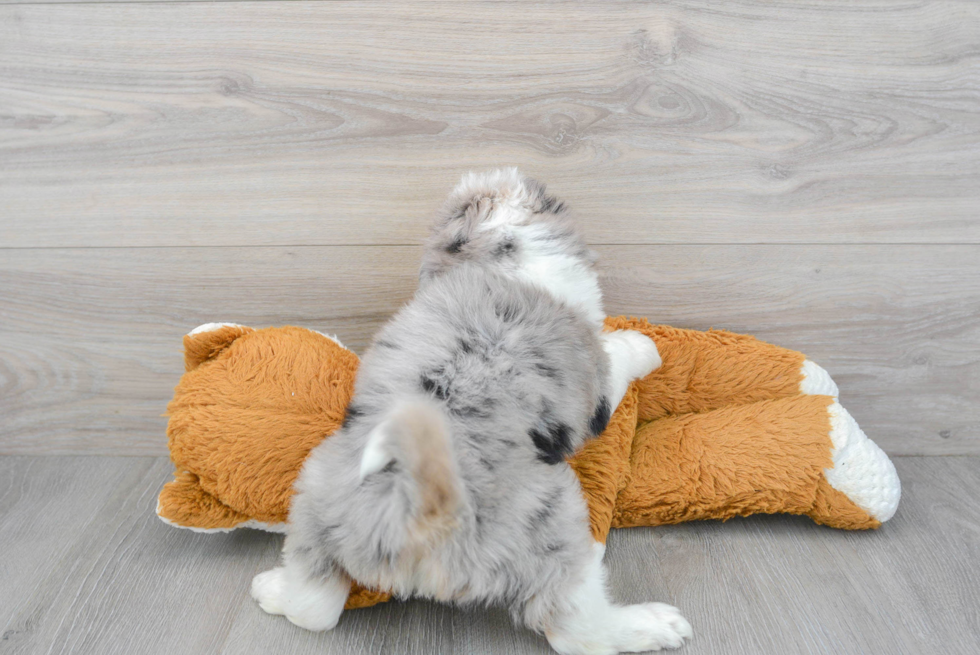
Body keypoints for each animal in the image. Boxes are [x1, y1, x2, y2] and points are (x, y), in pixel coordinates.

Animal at [253, 170, 696, 655]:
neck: (495, 260)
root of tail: (412, 511)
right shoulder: (594, 378)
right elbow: (620, 355)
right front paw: (644, 346)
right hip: (550, 526)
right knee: (574, 630)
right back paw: (652, 624)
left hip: (315, 498)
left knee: (315, 607)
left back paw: (270, 590)